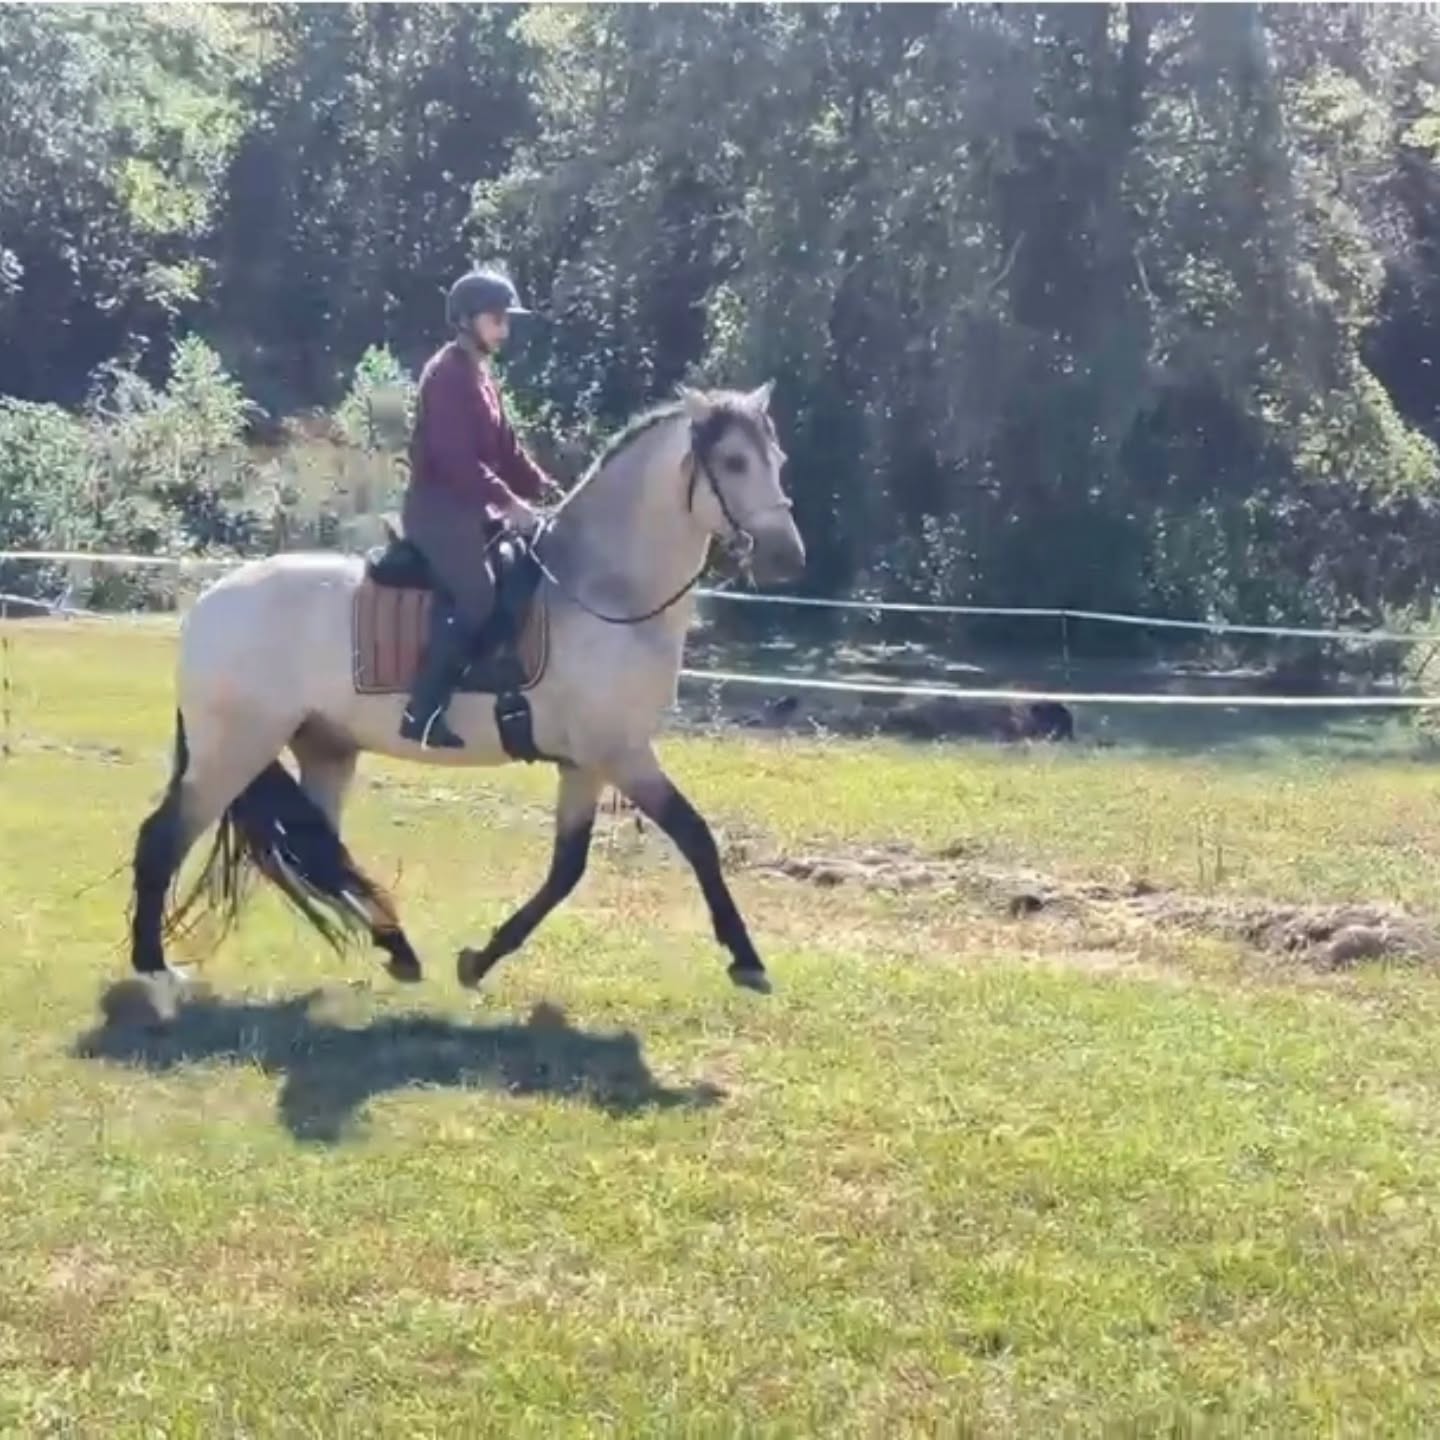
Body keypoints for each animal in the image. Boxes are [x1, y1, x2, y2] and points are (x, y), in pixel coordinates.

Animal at [128, 384, 805, 1020]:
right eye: (735, 461)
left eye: (777, 460)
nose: (788, 557)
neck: (602, 590)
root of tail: (207, 605)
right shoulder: (623, 753)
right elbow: (696, 838)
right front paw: (747, 960)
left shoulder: (585, 763)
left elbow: (566, 869)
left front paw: (478, 960)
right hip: (233, 750)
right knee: (164, 838)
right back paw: (157, 974)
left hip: (324, 747)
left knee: (315, 849)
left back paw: (398, 950)